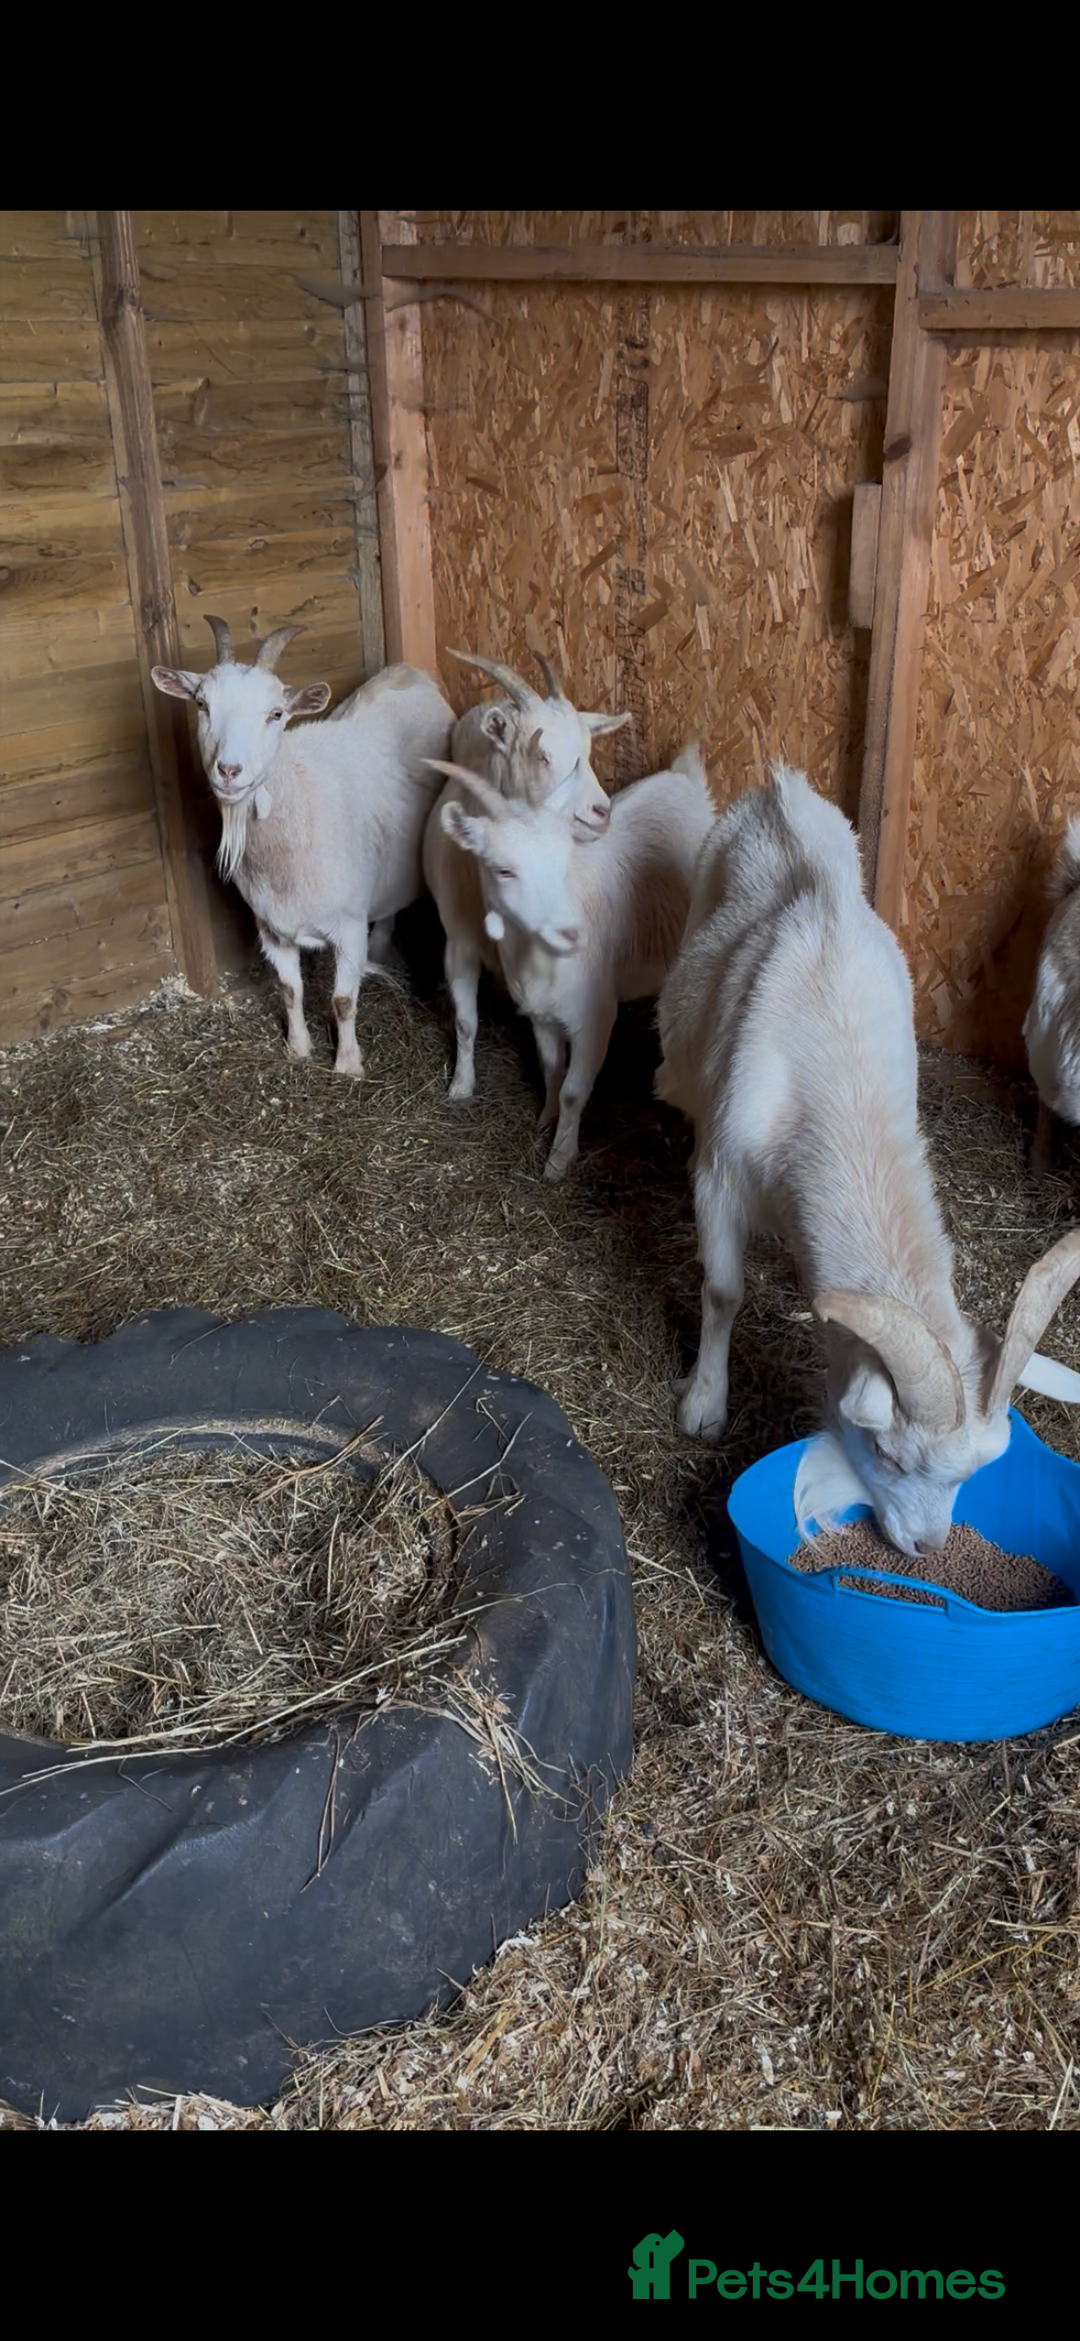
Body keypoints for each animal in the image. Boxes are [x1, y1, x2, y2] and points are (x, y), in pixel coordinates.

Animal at [152, 616, 452, 1076]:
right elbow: (290, 989)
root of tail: (409, 672)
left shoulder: (348, 924)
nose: (229, 770)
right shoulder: (271, 926)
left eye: (276, 713)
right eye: (202, 704)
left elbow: (343, 1001)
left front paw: (348, 1065)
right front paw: (298, 1048)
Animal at [426, 746, 716, 1178]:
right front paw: (545, 1117)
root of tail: (685, 775)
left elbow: (574, 1091)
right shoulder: (542, 1011)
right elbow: (551, 1067)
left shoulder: (595, 1015)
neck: (538, 959)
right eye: (503, 870)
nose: (571, 933)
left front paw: (559, 1160)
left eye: (565, 862)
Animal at [655, 763, 1080, 1558]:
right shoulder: (721, 1173)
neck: (836, 1074)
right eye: (885, 1451)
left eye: (980, 1469)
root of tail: (781, 783)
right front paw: (703, 1403)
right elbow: (723, 1290)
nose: (929, 1549)